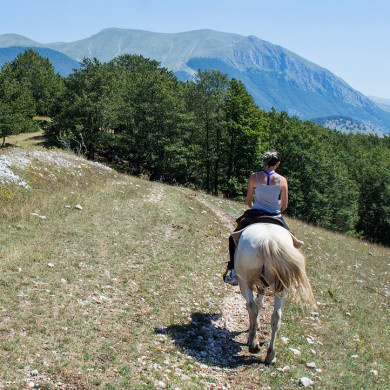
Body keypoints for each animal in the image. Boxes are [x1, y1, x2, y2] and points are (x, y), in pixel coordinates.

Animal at [233, 224, 316, 364]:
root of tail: (268, 241)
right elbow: (260, 303)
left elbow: (255, 305)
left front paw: (253, 331)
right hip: (282, 287)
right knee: (276, 316)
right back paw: (270, 355)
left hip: (244, 281)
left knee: (251, 307)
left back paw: (253, 343)